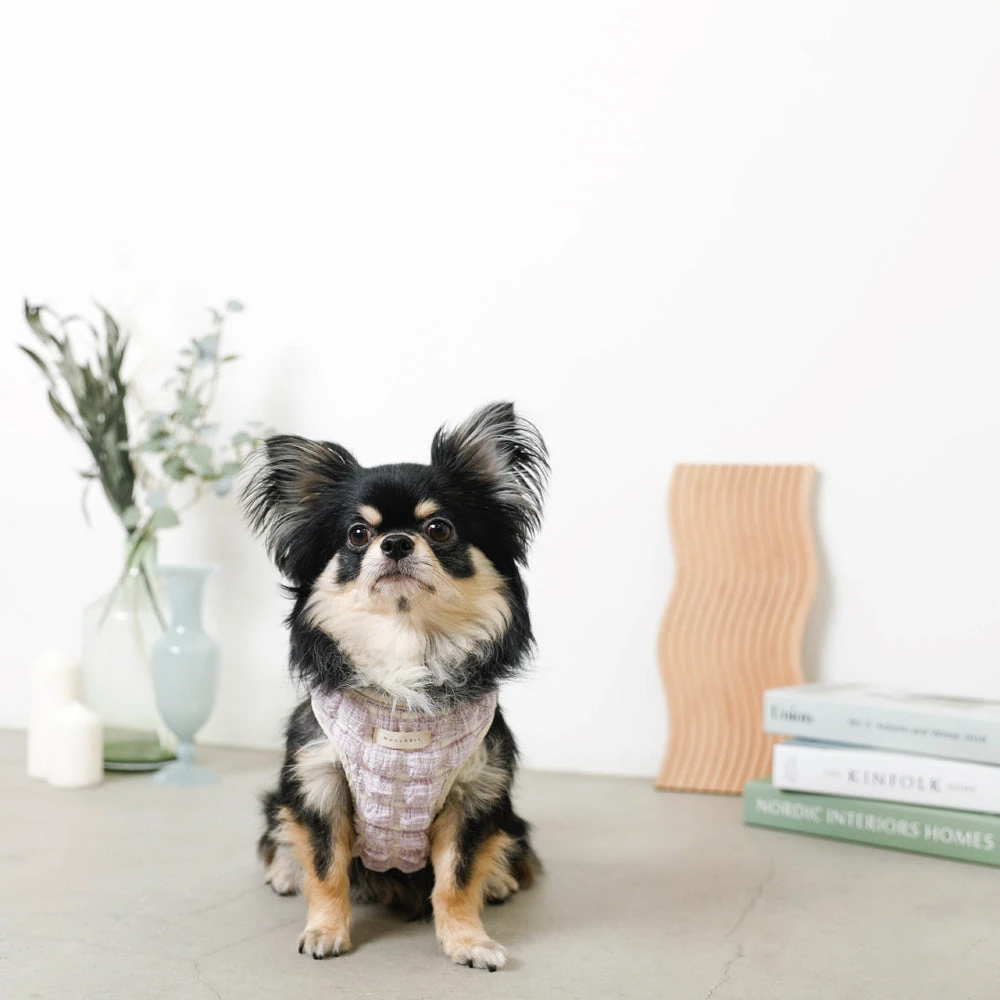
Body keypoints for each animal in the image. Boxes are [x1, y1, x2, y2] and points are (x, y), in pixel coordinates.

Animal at [240, 402, 548, 971]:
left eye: (440, 528)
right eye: (358, 534)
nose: (398, 541)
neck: (406, 649)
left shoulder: (475, 793)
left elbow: (457, 878)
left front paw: (467, 940)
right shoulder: (320, 783)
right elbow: (325, 867)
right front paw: (324, 930)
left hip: (507, 814)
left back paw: (499, 880)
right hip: (282, 797)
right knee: (281, 832)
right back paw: (284, 871)